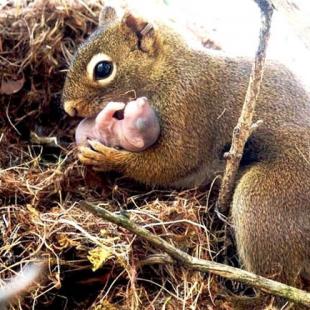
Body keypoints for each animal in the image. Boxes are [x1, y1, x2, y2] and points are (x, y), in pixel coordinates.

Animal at [62, 1, 310, 298]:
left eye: (102, 69)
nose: (69, 108)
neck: (169, 70)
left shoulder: (188, 107)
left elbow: (172, 162)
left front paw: (107, 157)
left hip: (265, 201)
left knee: (278, 284)